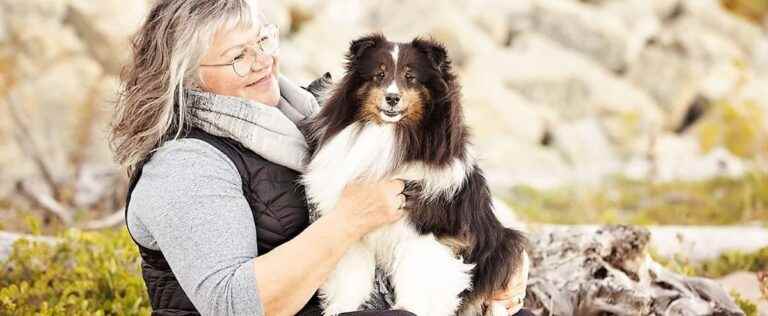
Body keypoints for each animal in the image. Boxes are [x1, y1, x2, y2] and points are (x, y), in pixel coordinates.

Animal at [300, 34, 528, 316]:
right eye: (379, 74)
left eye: (411, 77)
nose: (392, 98)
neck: (392, 134)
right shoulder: (353, 226)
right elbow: (351, 274)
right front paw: (340, 306)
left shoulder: (430, 230)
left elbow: (420, 274)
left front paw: (413, 307)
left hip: (502, 244)